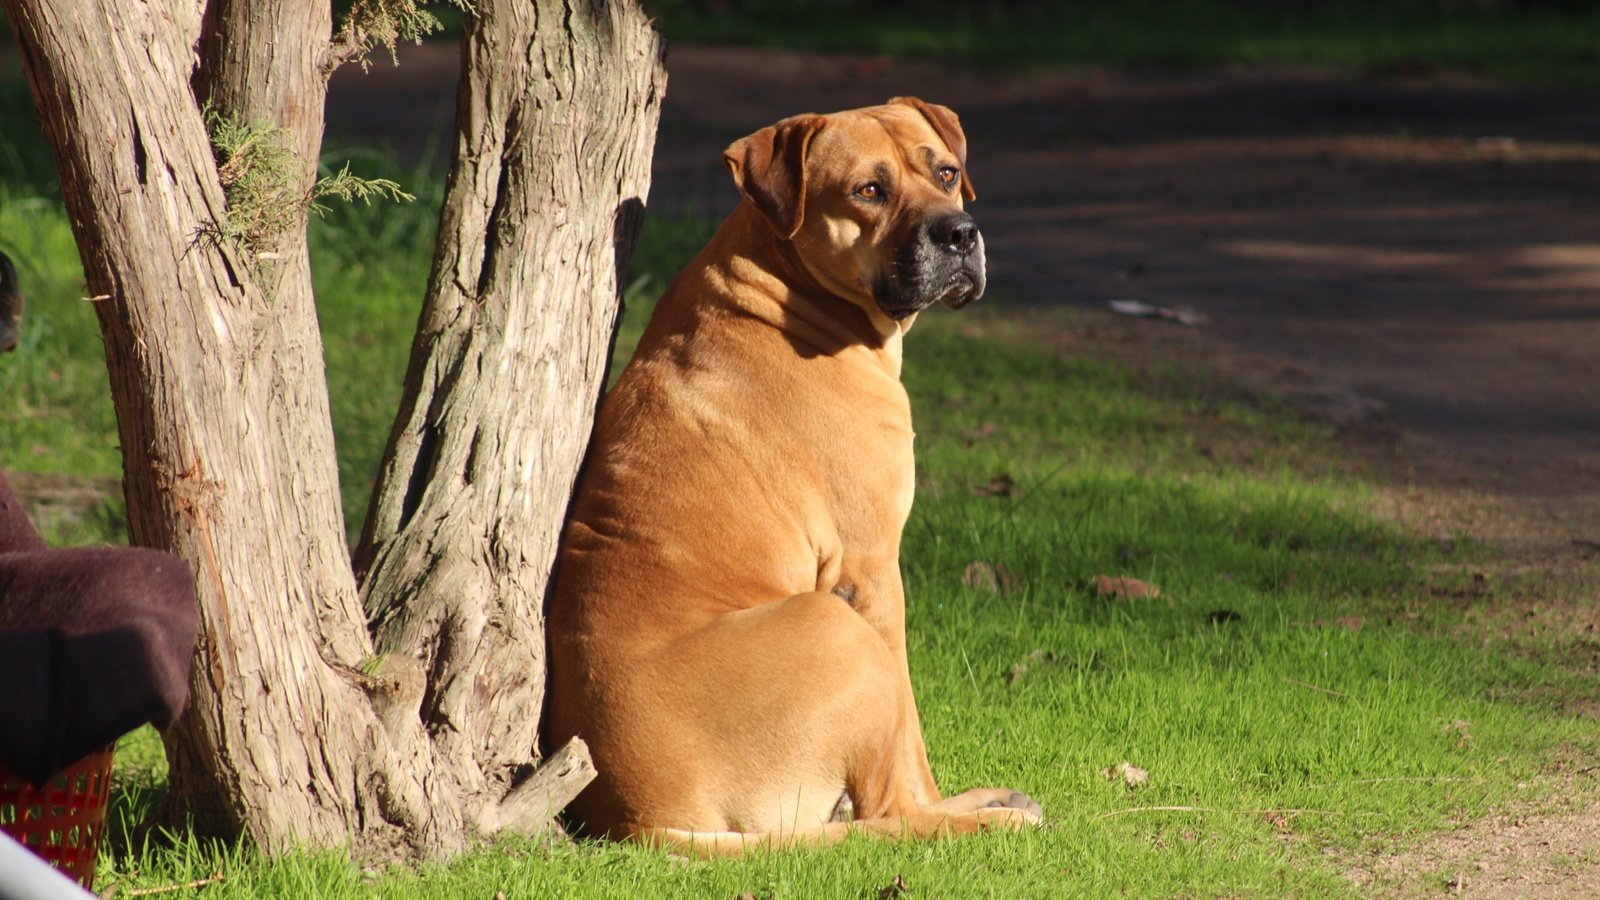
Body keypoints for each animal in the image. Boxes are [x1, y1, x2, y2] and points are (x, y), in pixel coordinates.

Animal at [550, 98, 1043, 851]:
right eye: (869, 190)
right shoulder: (873, 572)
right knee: (888, 813)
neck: (787, 284)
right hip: (836, 629)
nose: (960, 233)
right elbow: (912, 733)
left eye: (945, 173)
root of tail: (643, 821)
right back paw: (984, 818)